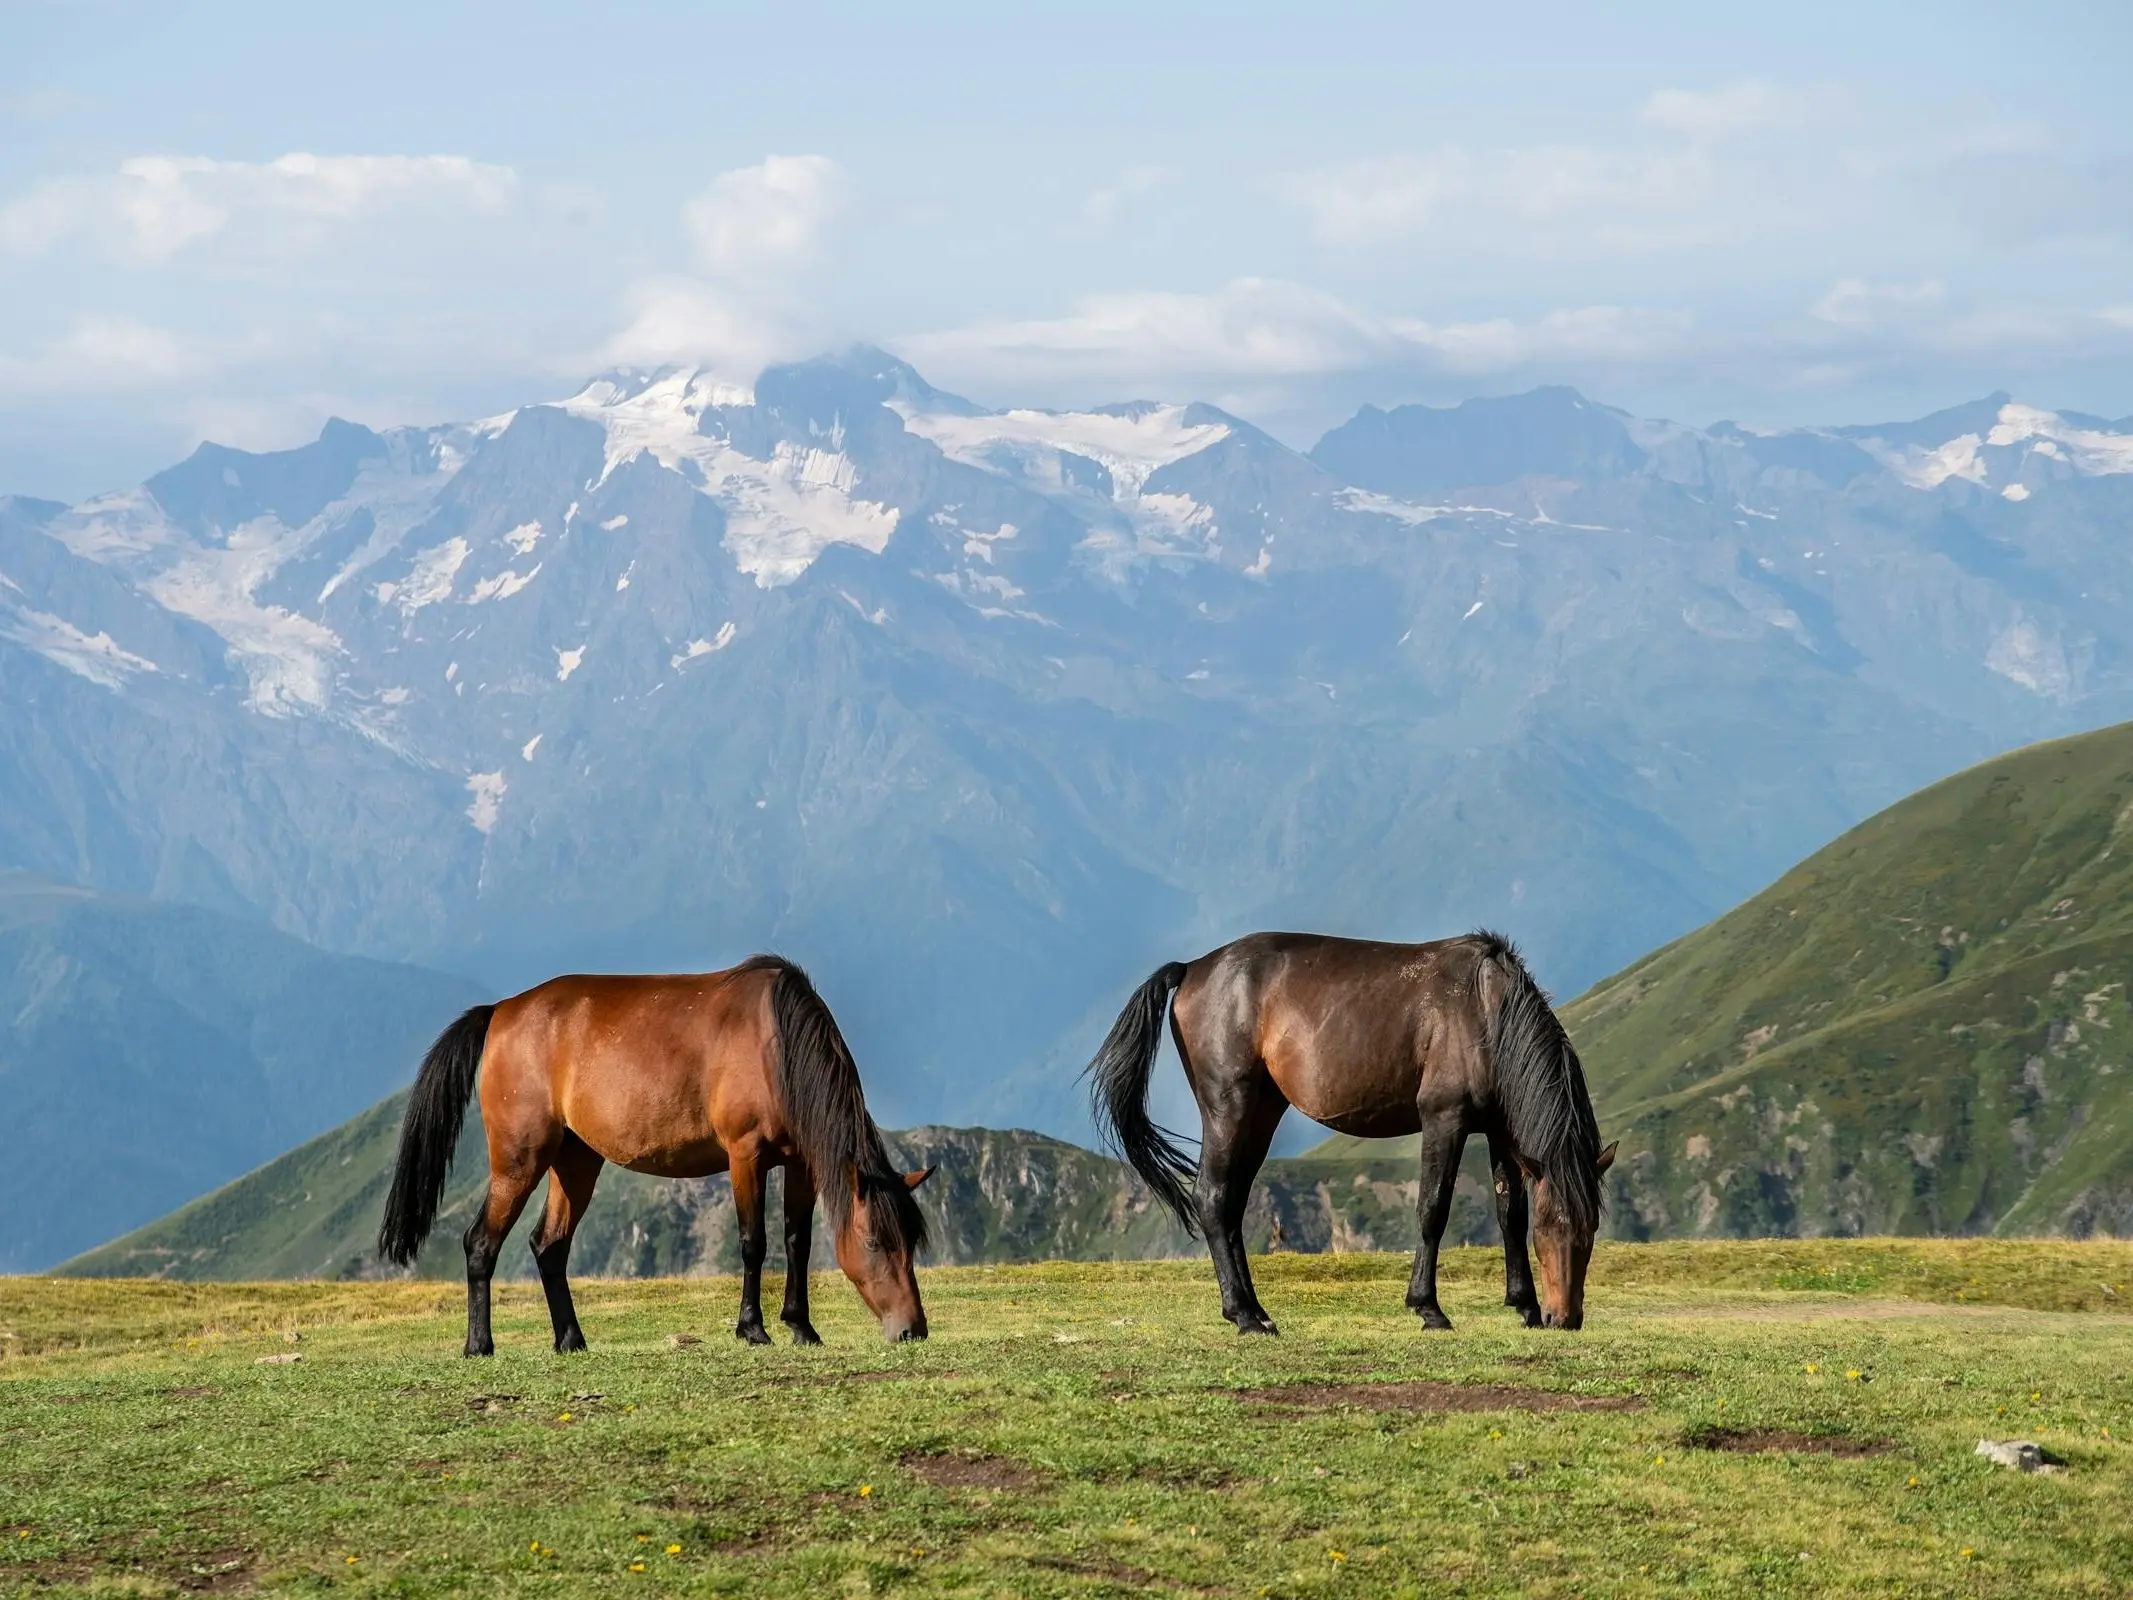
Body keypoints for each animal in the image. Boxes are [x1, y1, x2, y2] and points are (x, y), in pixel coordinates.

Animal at [376, 955, 934, 1353]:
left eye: (912, 1241)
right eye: (877, 1242)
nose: (913, 1329)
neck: (776, 1046)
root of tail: (500, 1012)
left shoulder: (799, 1162)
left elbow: (797, 1241)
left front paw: (802, 1328)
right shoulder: (745, 1156)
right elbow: (753, 1242)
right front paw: (753, 1329)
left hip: (575, 1161)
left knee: (549, 1244)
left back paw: (571, 1340)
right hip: (519, 1159)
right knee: (480, 1243)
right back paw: (479, 1345)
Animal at [1087, 930, 1616, 1334]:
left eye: (1589, 1228)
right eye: (1551, 1228)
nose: (1566, 1318)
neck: (1484, 1011)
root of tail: (1194, 968)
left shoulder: (1502, 1132)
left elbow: (1510, 1213)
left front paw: (1524, 1306)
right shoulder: (1444, 1120)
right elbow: (1433, 1210)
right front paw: (1428, 1309)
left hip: (1262, 1112)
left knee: (1232, 1202)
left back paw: (1257, 1311)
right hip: (1227, 1107)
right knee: (1213, 1197)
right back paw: (1243, 1316)